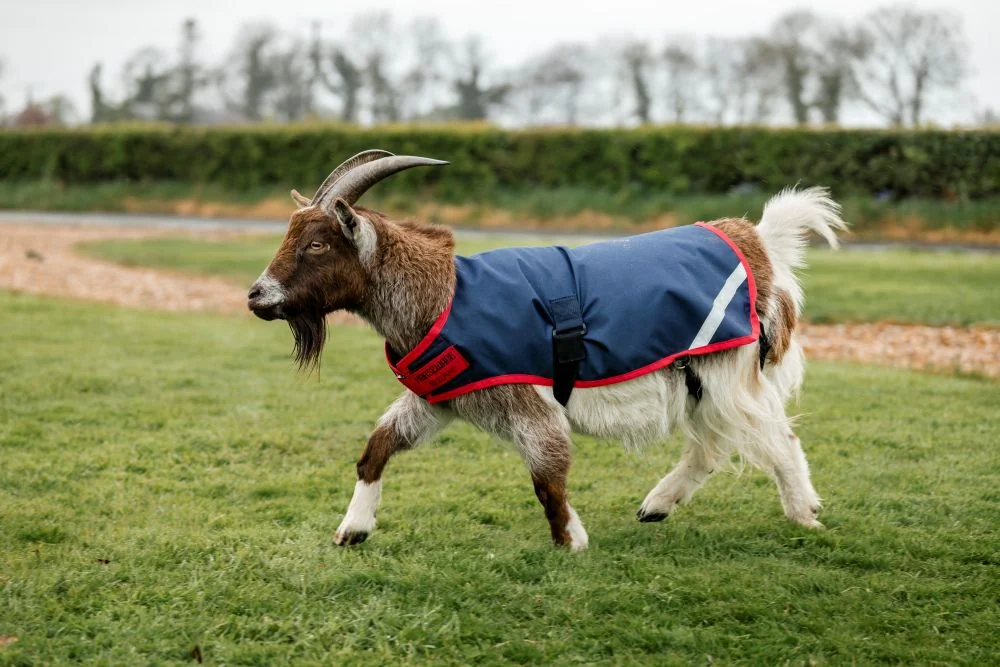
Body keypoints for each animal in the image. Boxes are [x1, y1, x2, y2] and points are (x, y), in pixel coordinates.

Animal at [247, 150, 847, 550]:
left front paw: (571, 540)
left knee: (774, 435)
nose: (257, 295)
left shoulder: (526, 402)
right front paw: (352, 529)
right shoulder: (440, 399)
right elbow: (376, 448)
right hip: (696, 379)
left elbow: (546, 476)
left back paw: (804, 513)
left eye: (317, 244)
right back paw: (657, 506)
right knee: (713, 447)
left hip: (727, 369)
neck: (442, 296)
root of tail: (758, 242)